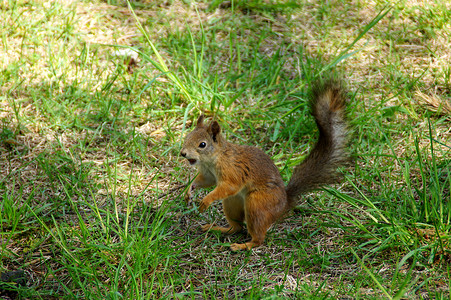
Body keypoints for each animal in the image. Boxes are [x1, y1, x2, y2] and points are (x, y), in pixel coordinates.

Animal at [180, 79, 350, 251]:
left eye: (202, 144)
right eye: (187, 137)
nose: (183, 153)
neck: (214, 158)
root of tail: (283, 203)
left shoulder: (232, 171)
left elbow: (229, 186)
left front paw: (206, 201)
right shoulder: (209, 174)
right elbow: (204, 181)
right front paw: (188, 191)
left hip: (256, 205)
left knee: (258, 238)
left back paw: (243, 245)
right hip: (232, 203)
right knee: (237, 227)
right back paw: (217, 228)